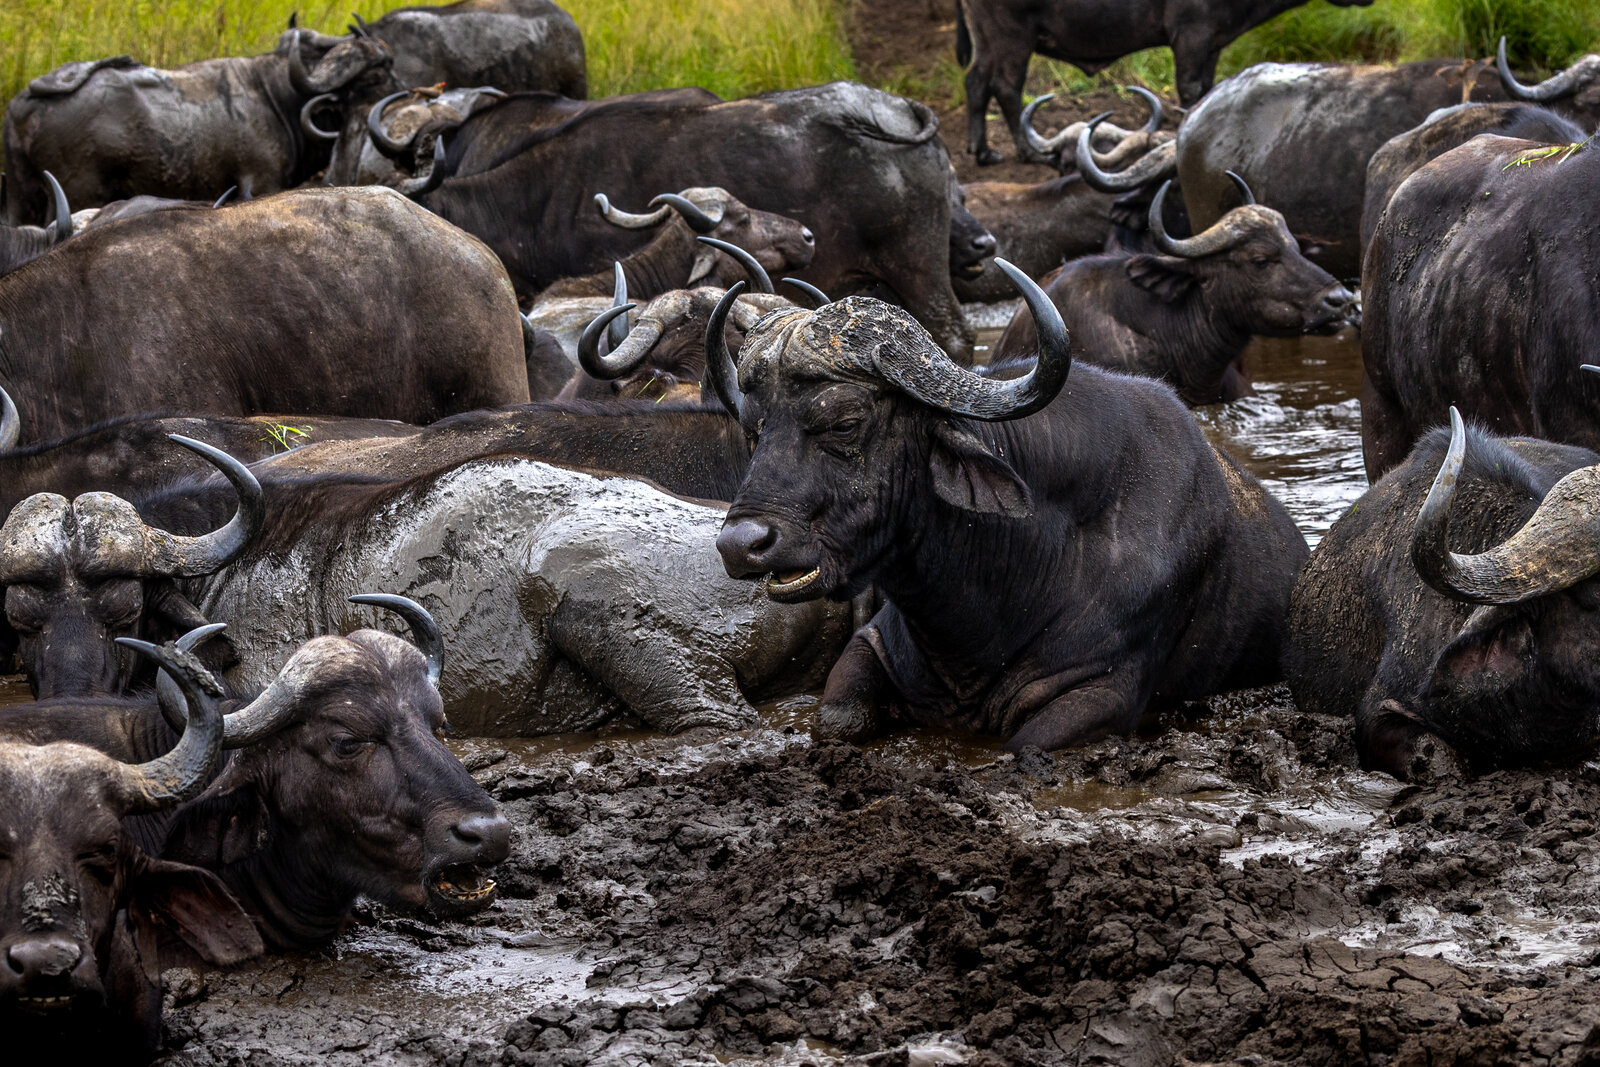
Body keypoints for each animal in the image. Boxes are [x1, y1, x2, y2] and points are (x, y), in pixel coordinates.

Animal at [3, 30, 395, 222]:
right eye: (372, 78)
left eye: (390, 70)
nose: (398, 96)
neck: (276, 97)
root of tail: (26, 101)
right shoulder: (262, 181)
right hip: (77, 194)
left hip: (22, 197)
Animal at [709, 261, 1307, 750]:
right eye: (755, 430)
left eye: (844, 423)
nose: (741, 545)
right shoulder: (872, 641)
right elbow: (837, 719)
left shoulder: (1101, 692)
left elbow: (1023, 746)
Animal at [957, 0, 1374, 164]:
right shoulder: (1191, 36)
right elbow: (1189, 88)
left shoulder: (1212, 44)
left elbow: (1206, 86)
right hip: (1011, 36)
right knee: (1006, 86)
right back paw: (1026, 151)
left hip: (988, 40)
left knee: (976, 81)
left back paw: (983, 151)